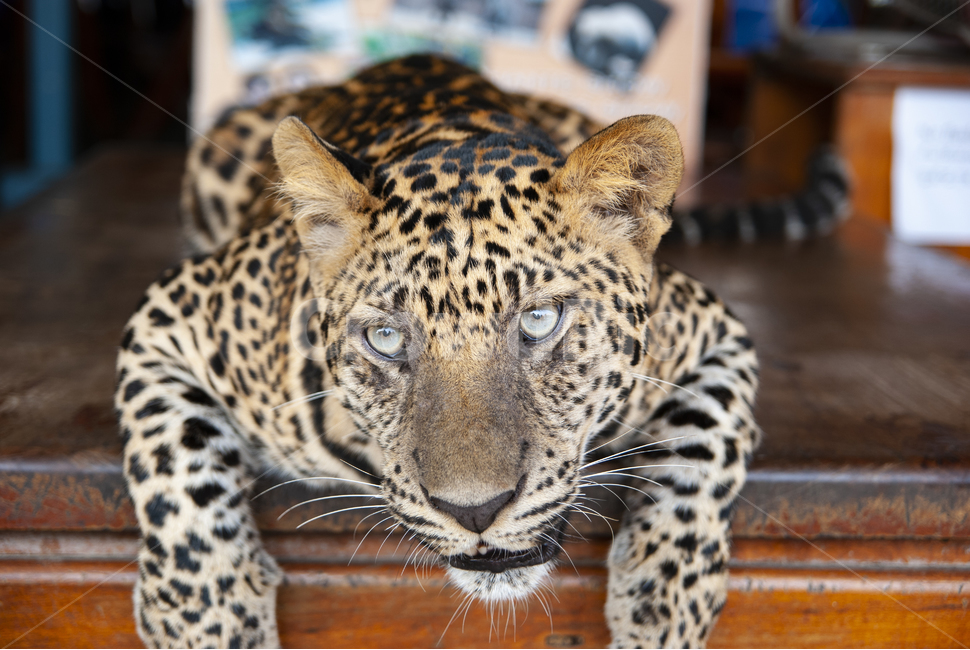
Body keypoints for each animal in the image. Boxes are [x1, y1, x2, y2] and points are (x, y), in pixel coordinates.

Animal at [115, 54, 766, 649]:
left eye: (539, 320)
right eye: (386, 339)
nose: (474, 511)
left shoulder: (714, 328)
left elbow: (706, 448)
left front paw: (663, 605)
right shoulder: (174, 311)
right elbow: (174, 468)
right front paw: (212, 624)